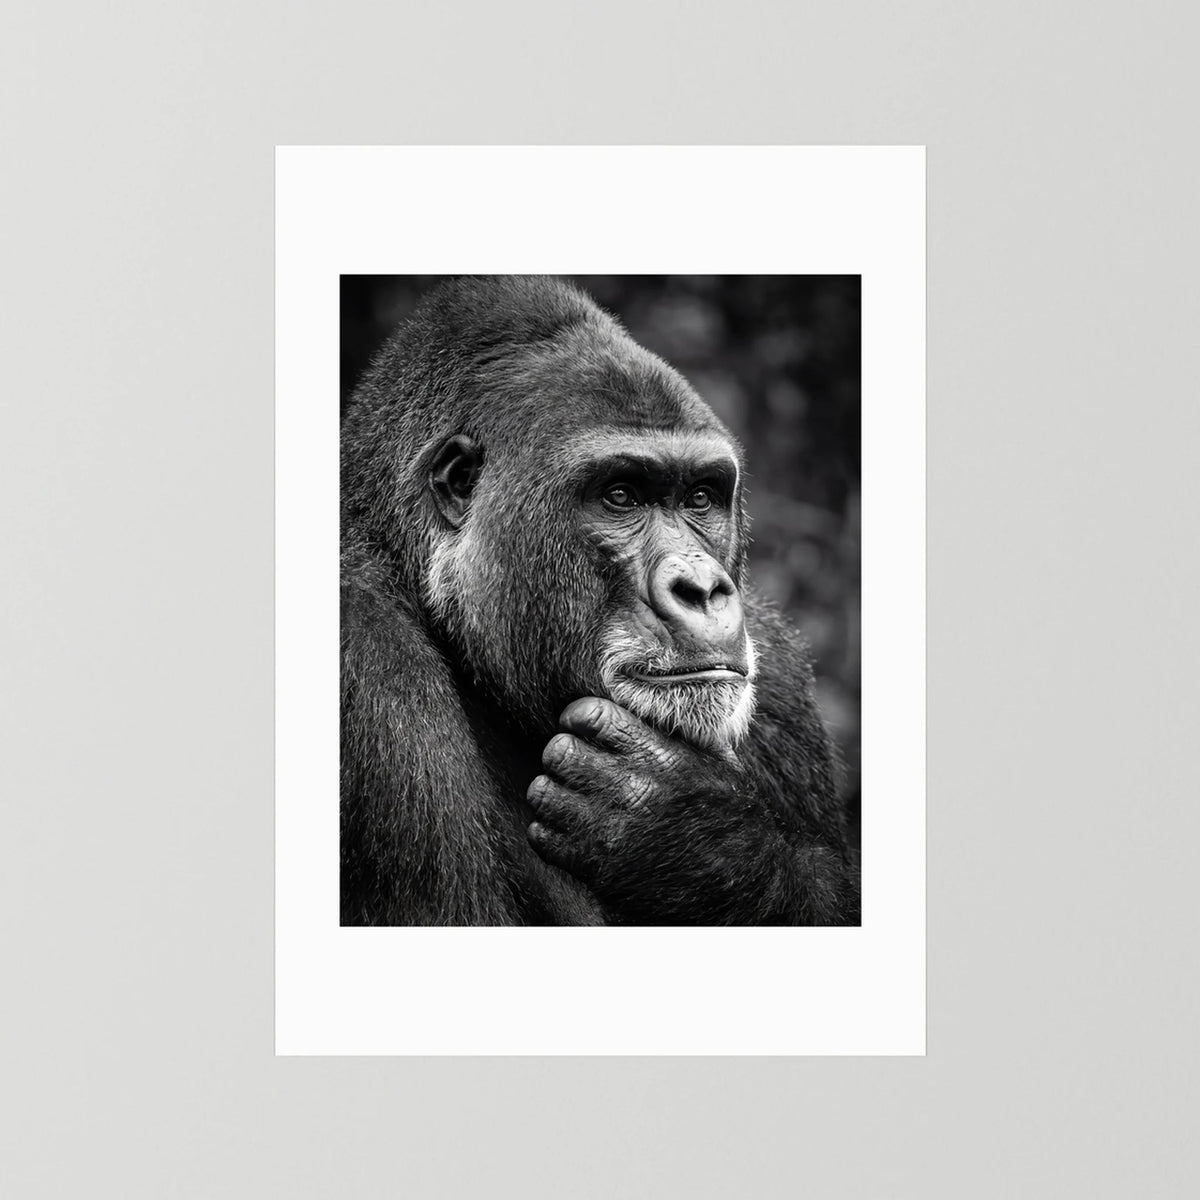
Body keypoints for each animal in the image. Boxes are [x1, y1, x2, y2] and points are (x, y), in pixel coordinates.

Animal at [340, 275, 859, 925]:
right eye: (621, 495)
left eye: (701, 497)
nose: (702, 590)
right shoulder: (365, 656)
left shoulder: (782, 675)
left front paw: (694, 833)